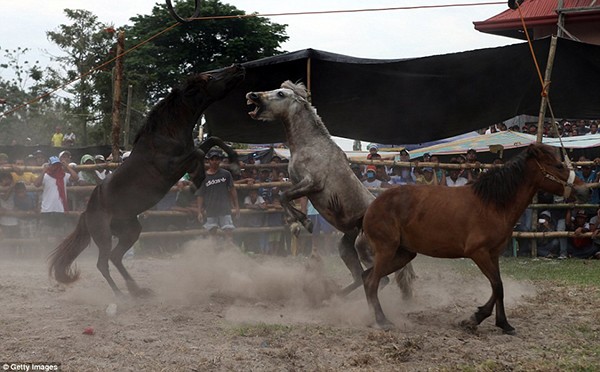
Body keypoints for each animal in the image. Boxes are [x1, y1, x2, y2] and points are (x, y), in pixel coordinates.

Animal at [49, 64, 245, 296]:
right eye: (209, 78)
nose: (238, 67)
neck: (166, 135)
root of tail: (86, 213)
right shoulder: (170, 168)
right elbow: (199, 152)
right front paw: (197, 182)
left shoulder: (189, 153)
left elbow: (212, 141)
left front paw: (233, 163)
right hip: (103, 235)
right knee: (103, 262)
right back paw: (120, 294)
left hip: (131, 230)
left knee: (115, 257)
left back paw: (137, 290)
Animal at [246, 80, 414, 296]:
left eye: (281, 94)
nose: (253, 95)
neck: (310, 146)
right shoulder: (299, 184)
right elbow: (286, 198)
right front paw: (298, 223)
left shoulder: (312, 183)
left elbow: (283, 196)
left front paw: (304, 223)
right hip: (346, 246)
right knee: (360, 277)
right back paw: (333, 296)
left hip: (364, 247)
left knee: (379, 278)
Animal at [360, 143, 584, 334]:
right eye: (558, 165)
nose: (583, 189)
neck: (492, 204)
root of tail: (371, 206)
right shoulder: (478, 253)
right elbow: (497, 285)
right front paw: (476, 319)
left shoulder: (493, 254)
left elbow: (498, 287)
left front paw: (500, 322)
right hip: (387, 250)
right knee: (371, 281)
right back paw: (382, 321)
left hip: (403, 254)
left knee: (367, 277)